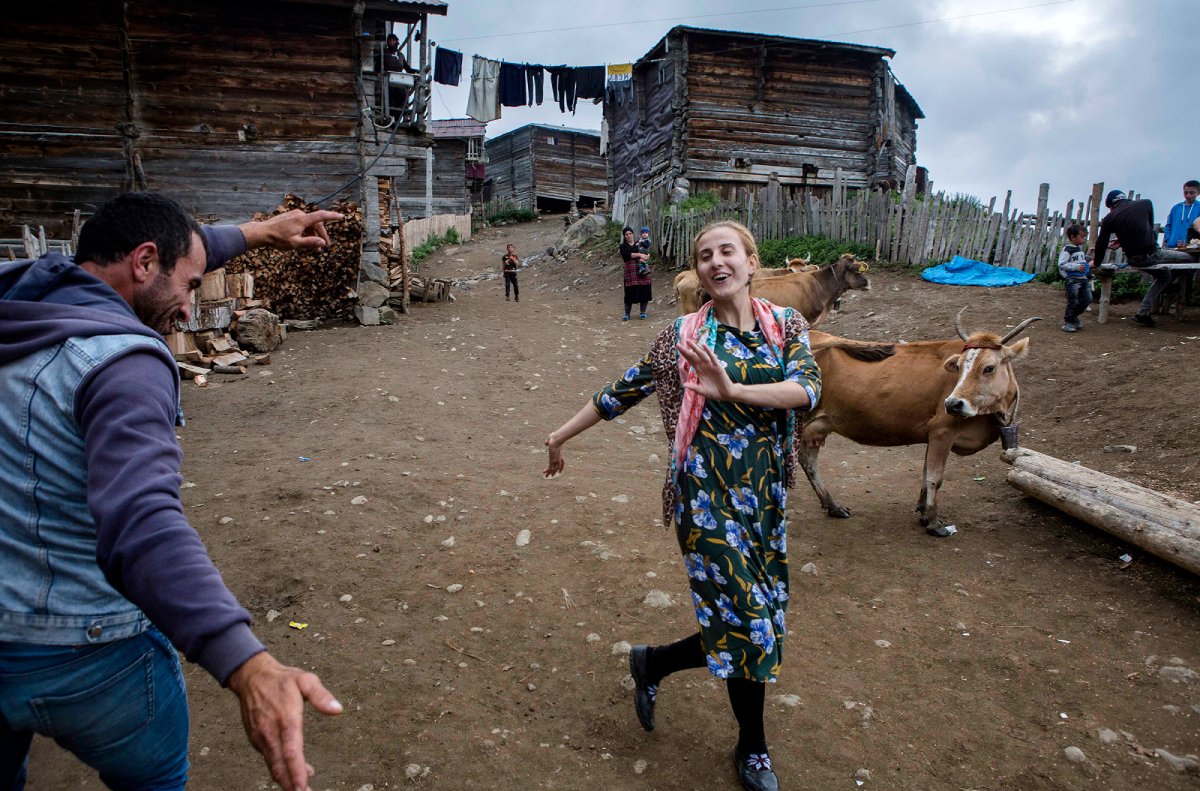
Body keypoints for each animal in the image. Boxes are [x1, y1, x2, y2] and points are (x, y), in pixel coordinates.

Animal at [796, 306, 1041, 535]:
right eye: (959, 367)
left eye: (989, 368)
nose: (952, 404)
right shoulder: (942, 431)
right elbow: (934, 477)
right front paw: (934, 522)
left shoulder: (932, 435)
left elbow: (925, 474)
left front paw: (923, 513)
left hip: (818, 425)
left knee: (808, 462)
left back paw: (833, 506)